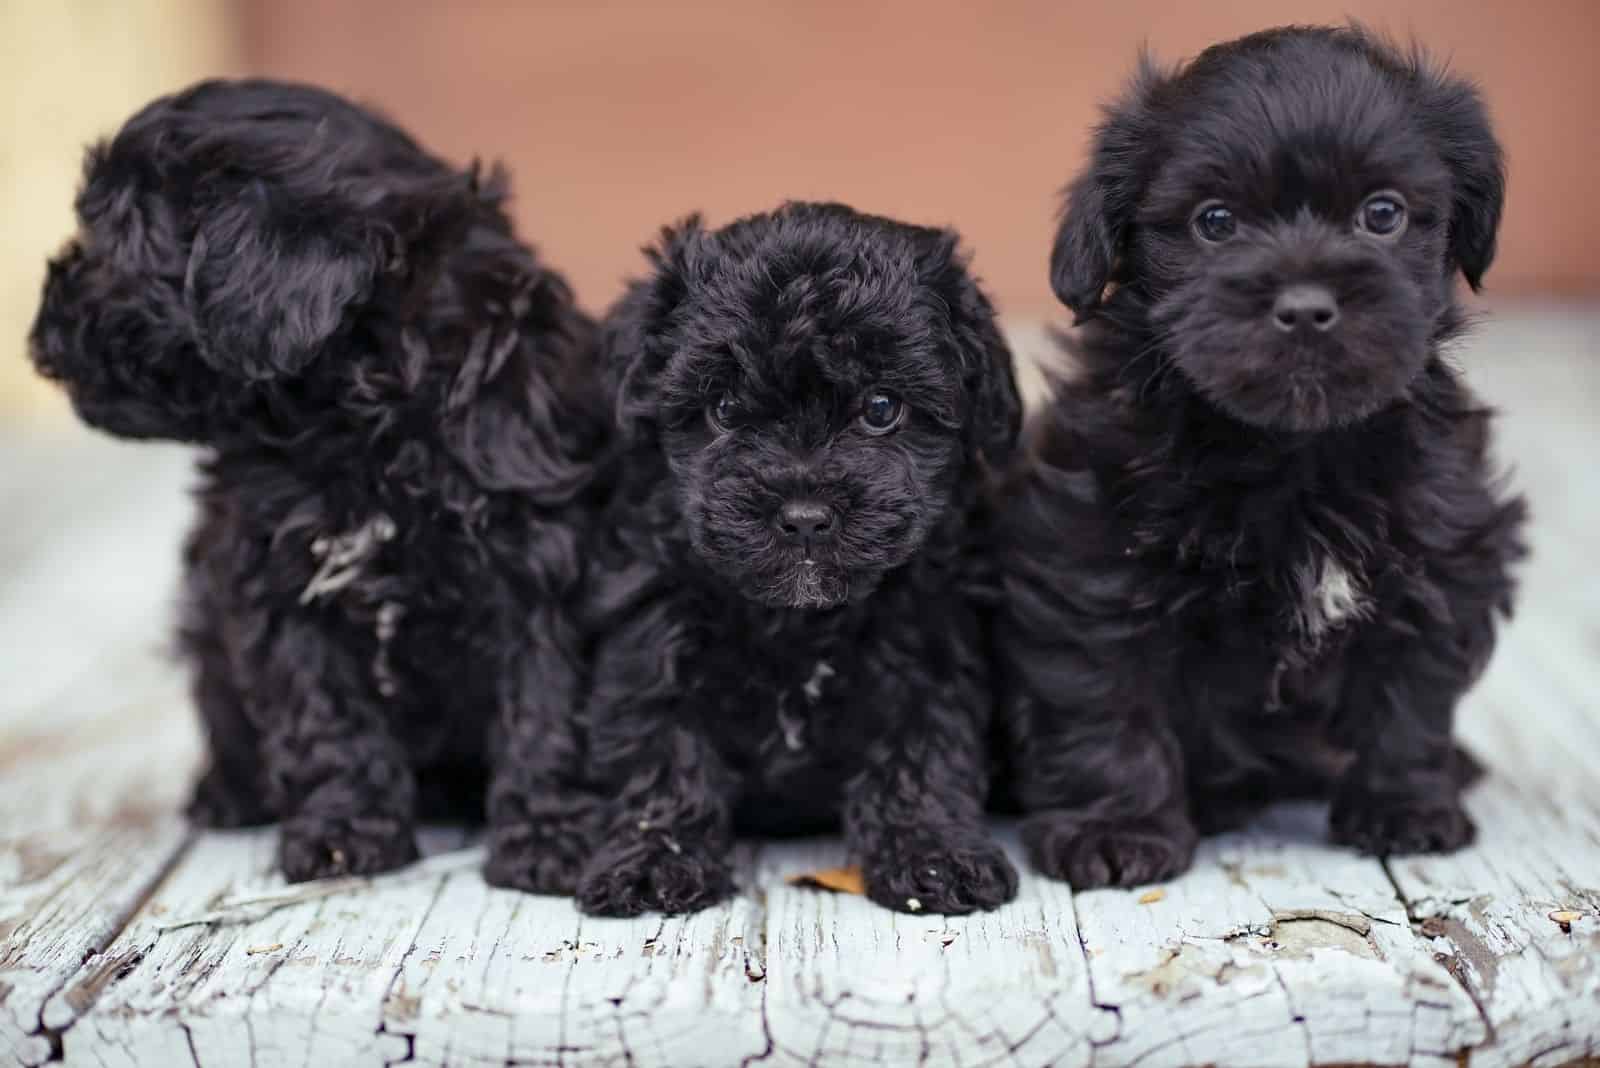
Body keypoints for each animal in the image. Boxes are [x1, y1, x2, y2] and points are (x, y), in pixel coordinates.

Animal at [37, 81, 614, 882]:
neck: (359, 422)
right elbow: (324, 716)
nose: (41, 329)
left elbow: (546, 702)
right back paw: (227, 794)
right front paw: (345, 835)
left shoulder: (539, 561)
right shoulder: (276, 580)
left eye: (112, 244)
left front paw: (550, 836)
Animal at [540, 202, 1024, 920]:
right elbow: (662, 747)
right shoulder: (653, 627)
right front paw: (655, 863)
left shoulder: (928, 638)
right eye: (724, 408)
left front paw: (934, 855)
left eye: (882, 408)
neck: (797, 620)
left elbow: (923, 749)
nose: (803, 515)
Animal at [998, 27, 1523, 895]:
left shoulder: (1442, 551)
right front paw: (1118, 830)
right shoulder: (1090, 567)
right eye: (1215, 222)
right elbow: (1107, 704)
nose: (1306, 306)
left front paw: (1405, 806)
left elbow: (1411, 690)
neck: (1291, 451)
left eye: (1383, 214)